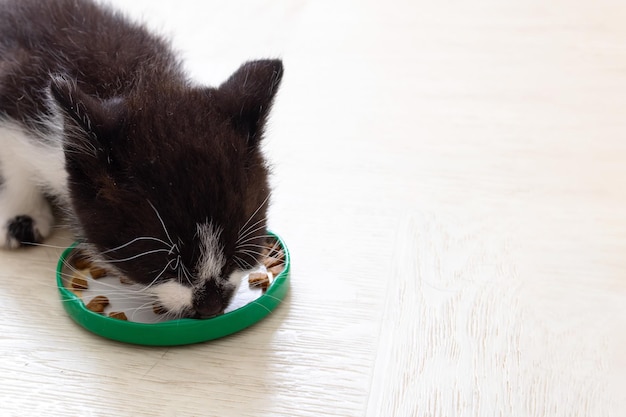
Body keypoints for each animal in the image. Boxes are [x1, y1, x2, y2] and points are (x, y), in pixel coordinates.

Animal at [0, 0, 282, 318]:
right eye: (163, 262)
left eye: (239, 251)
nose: (211, 307)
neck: (127, 78)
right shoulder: (14, 87)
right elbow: (12, 157)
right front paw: (21, 213)